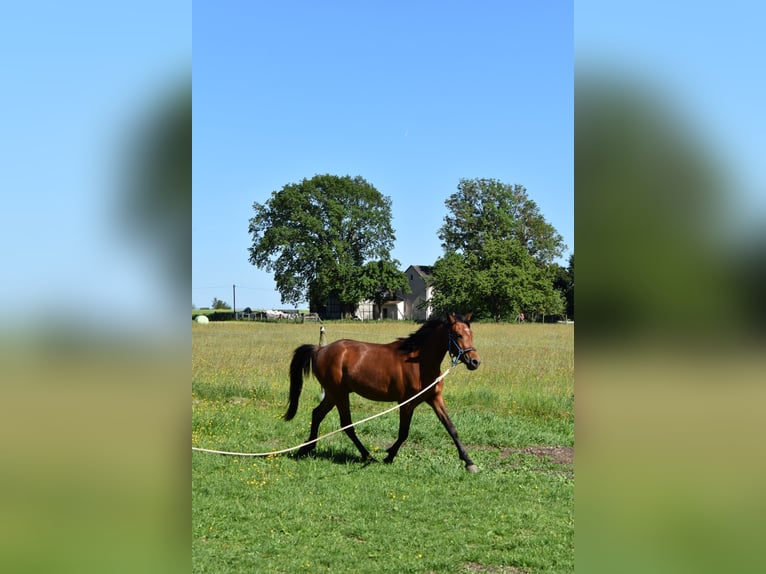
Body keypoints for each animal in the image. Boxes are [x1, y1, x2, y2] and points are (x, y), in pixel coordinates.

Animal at [284, 313, 482, 472]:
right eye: (458, 334)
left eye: (471, 334)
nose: (475, 362)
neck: (419, 363)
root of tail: (320, 350)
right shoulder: (407, 404)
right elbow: (403, 433)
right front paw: (389, 455)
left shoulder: (434, 398)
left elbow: (451, 429)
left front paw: (469, 462)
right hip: (339, 394)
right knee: (346, 424)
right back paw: (367, 456)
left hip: (333, 394)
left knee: (317, 414)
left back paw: (306, 448)